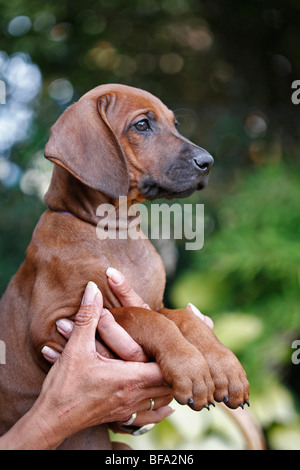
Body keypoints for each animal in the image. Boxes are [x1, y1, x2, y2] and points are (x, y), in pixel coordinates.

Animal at [0, 84, 248, 448]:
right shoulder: (51, 325)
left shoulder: (155, 302)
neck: (113, 231)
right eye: (142, 125)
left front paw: (224, 365)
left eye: (174, 123)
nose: (208, 162)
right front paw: (190, 367)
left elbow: (181, 317)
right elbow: (137, 316)